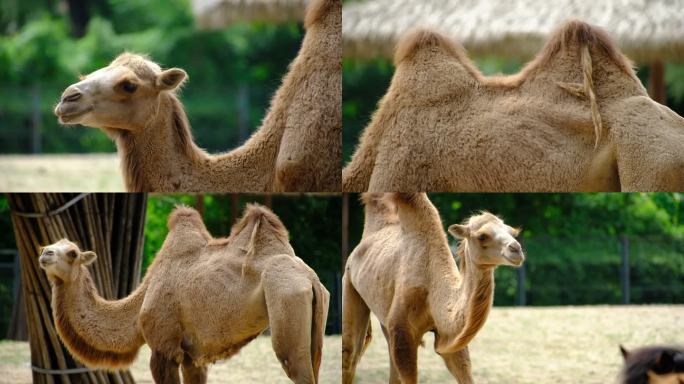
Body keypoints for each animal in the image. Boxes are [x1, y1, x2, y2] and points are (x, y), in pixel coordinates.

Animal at [37, 206, 332, 382]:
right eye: (48, 245)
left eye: (72, 252)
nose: (44, 254)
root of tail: (310, 278)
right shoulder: (193, 357)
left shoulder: (164, 349)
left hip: (286, 300)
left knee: (294, 363)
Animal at [342, 195, 524, 384]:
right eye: (482, 236)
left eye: (512, 232)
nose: (516, 249)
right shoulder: (403, 332)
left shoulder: (445, 336)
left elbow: (464, 370)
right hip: (349, 285)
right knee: (350, 355)